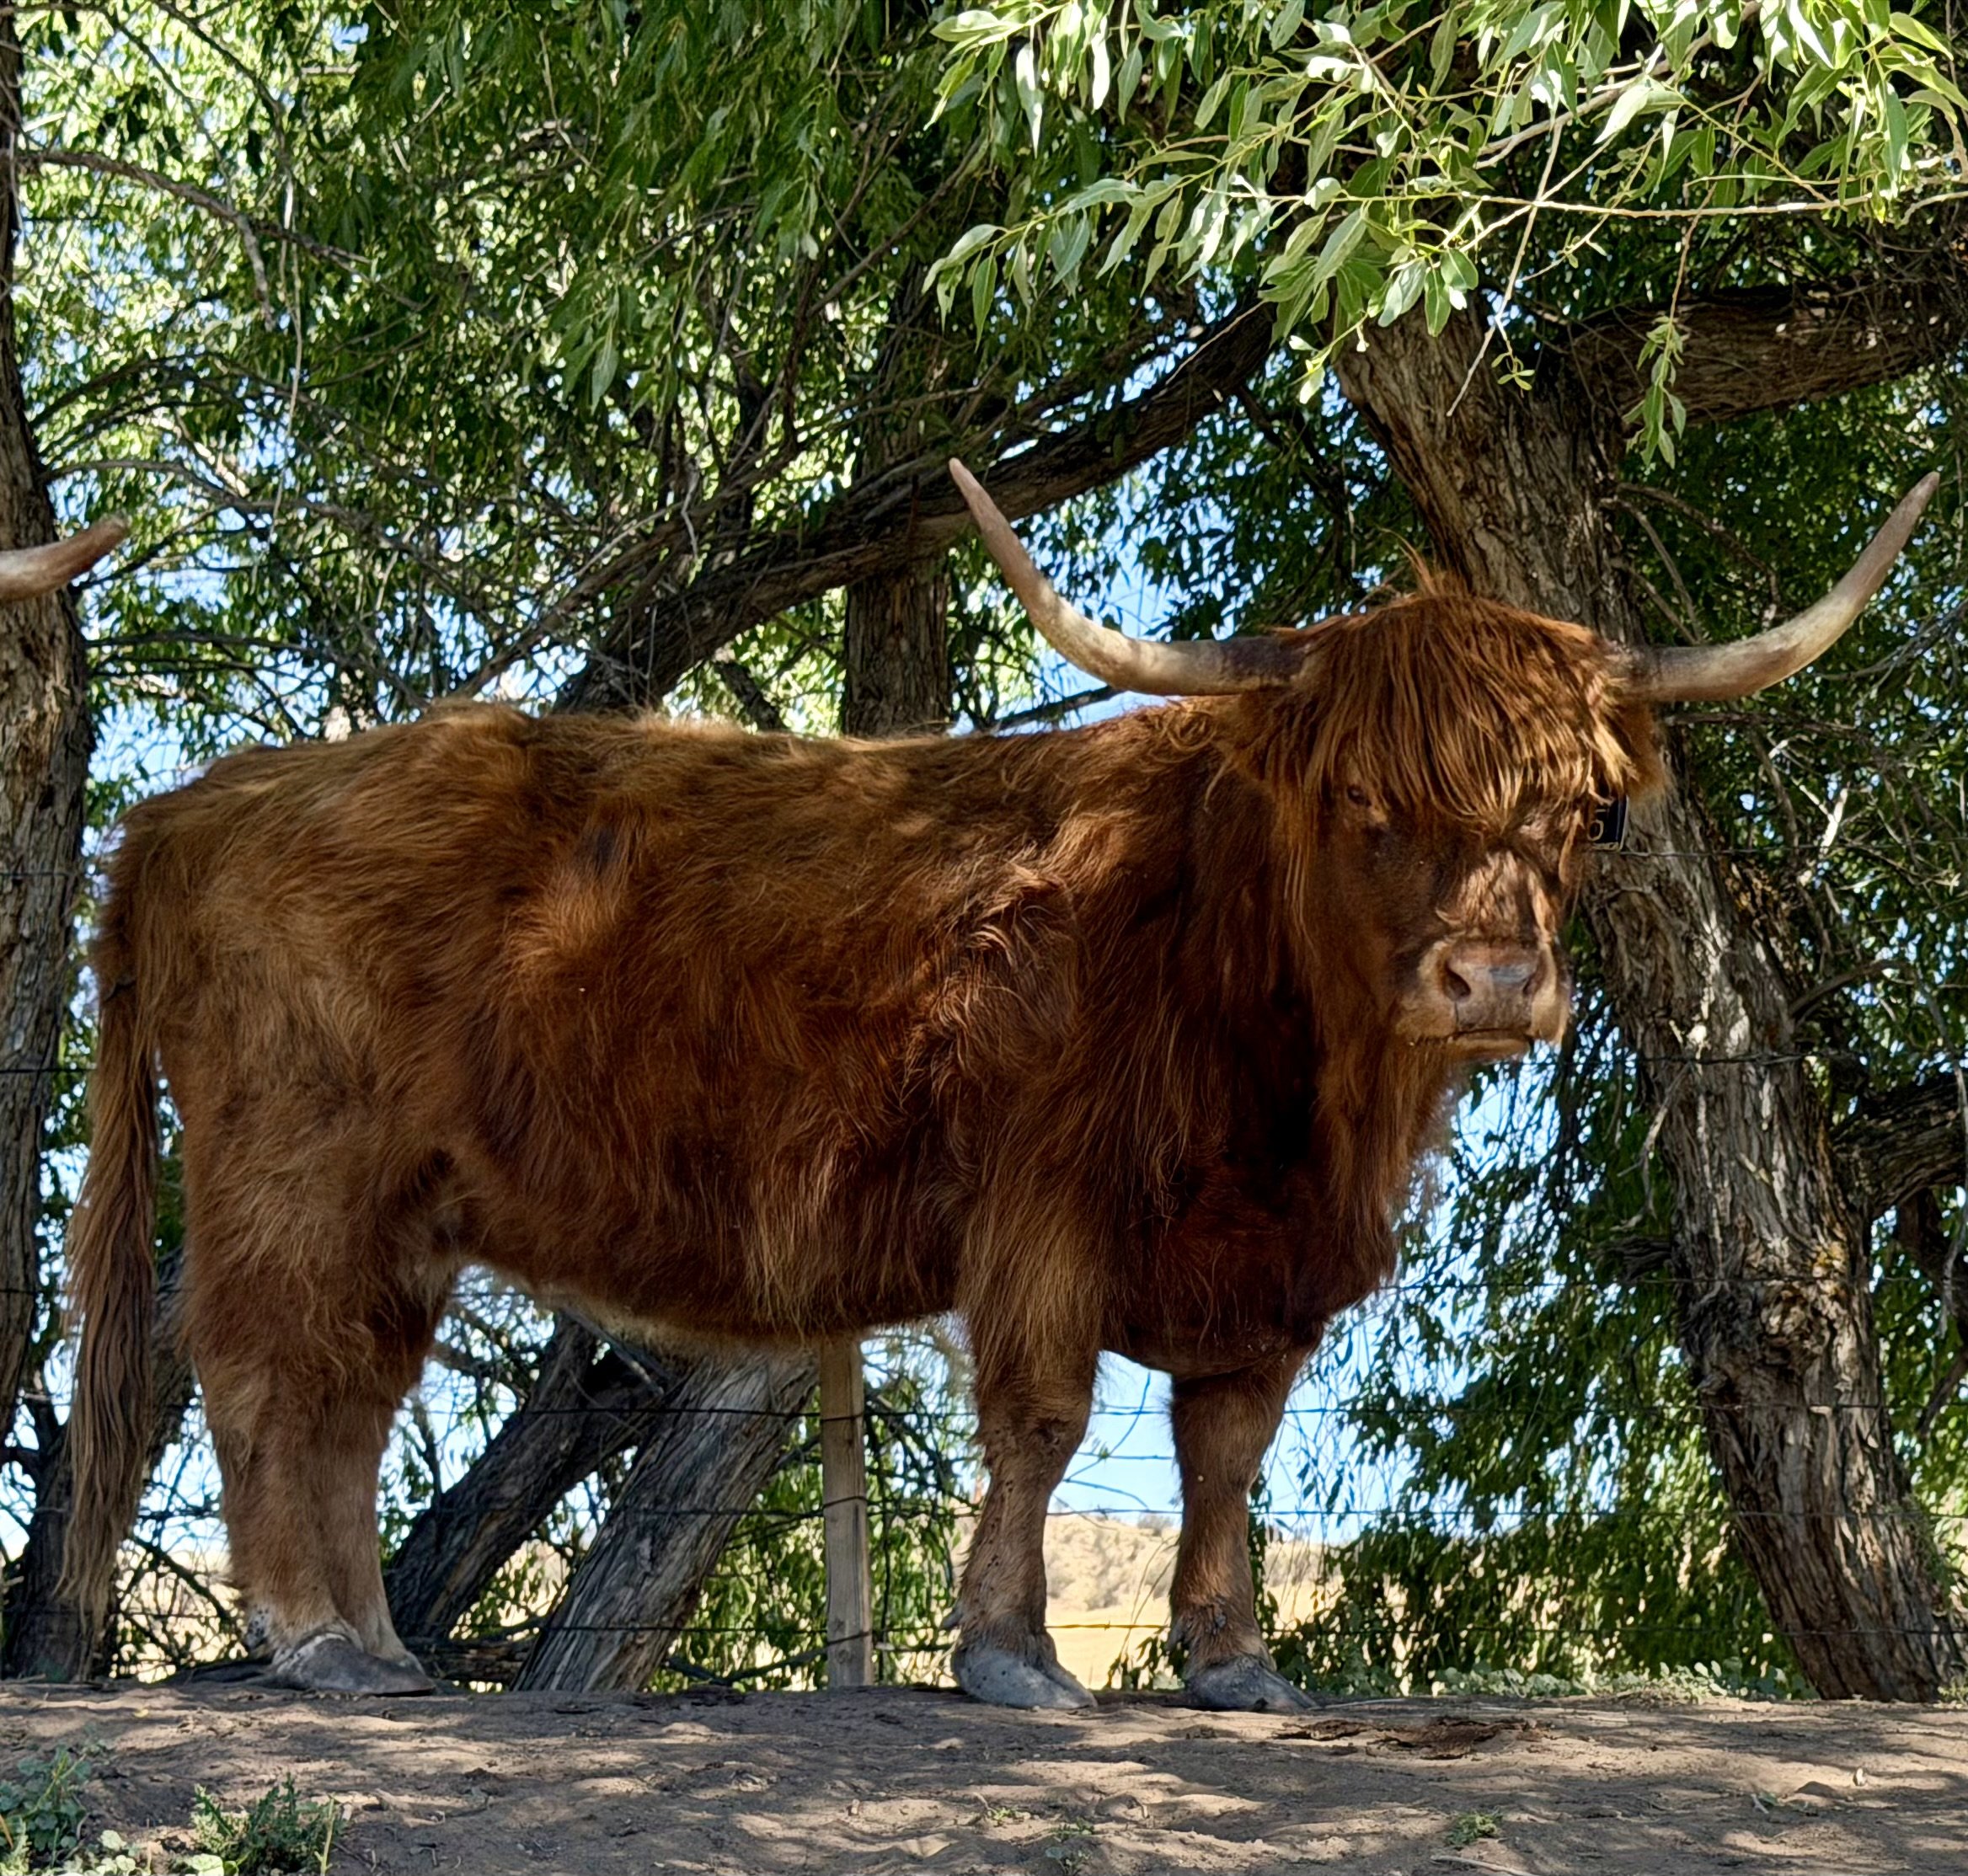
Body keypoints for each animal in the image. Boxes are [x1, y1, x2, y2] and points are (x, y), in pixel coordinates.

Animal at [56, 465, 1934, 1711]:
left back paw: (379, 1646)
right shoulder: (1044, 1214)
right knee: (262, 1376)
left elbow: (1227, 1453)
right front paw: (1012, 1655)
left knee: (348, 1401)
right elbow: (1041, 1423)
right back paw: (314, 1643)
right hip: (295, 1176)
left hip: (406, 1208)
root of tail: (201, 800)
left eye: (1589, 812)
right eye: (1362, 807)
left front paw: (1231, 1663)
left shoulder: (1267, 1272)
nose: (1494, 984)